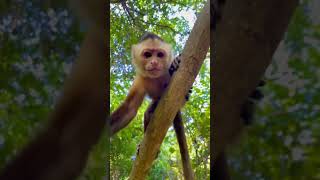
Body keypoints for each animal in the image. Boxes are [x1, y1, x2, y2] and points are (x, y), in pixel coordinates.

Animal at [110, 32, 195, 179]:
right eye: (148, 54)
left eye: (160, 55)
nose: (154, 62)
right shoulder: (140, 79)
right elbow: (130, 109)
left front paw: (175, 64)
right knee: (148, 114)